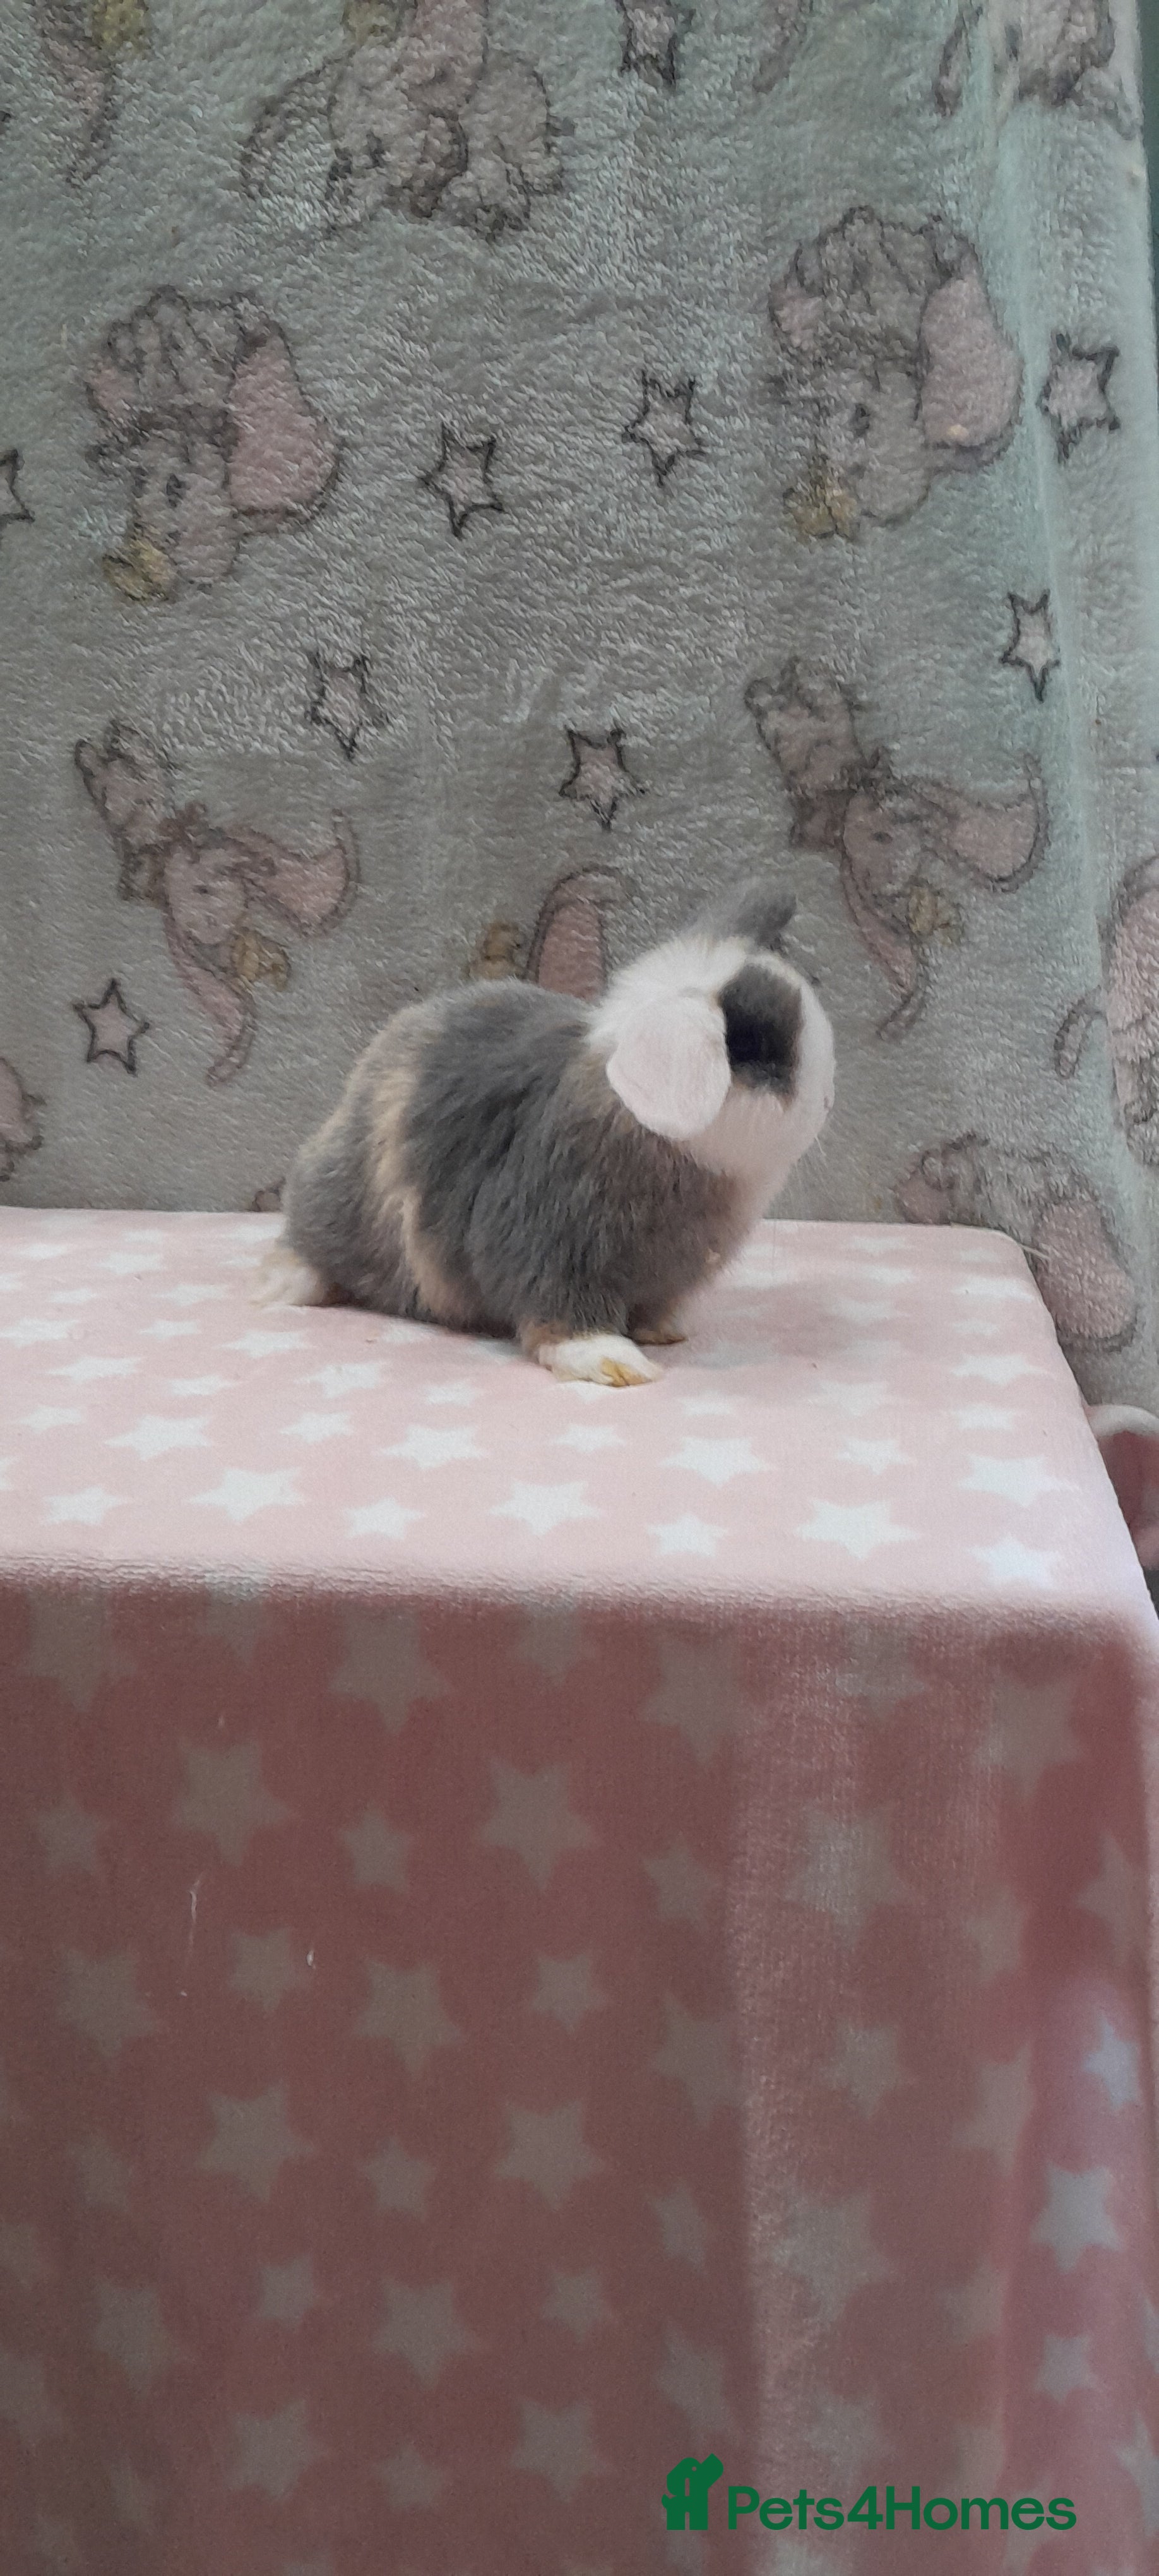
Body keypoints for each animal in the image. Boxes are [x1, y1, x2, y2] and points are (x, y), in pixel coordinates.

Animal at [252, 879, 835, 1385]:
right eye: (755, 1049)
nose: (827, 1098)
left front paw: (663, 1332)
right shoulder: (554, 1244)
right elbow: (562, 1317)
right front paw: (615, 1363)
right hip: (342, 1197)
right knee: (308, 1239)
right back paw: (281, 1285)